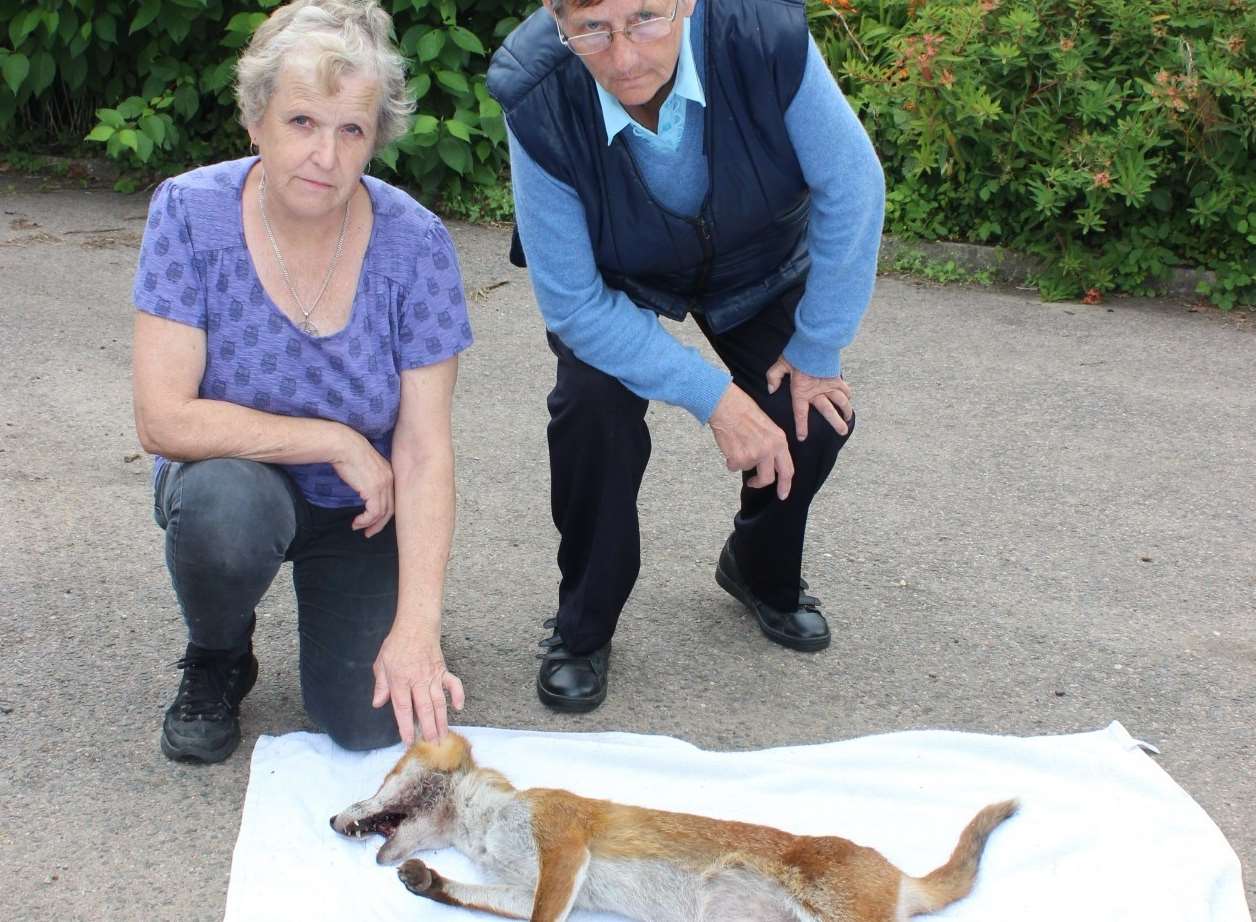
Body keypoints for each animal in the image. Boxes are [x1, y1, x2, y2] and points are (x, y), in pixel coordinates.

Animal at [329, 738, 1014, 922]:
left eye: (382, 776)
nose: (332, 820)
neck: (490, 828)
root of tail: (897, 875)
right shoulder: (528, 887)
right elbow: (477, 897)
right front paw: (429, 882)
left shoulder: (563, 844)